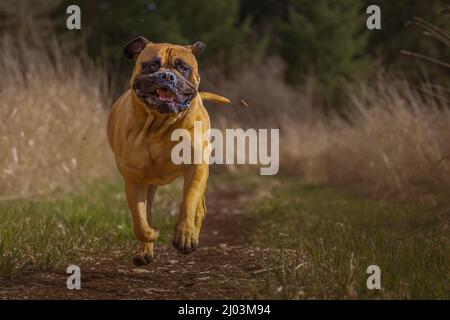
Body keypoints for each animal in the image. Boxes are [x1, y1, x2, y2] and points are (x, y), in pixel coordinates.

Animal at [107, 36, 230, 266]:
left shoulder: (196, 167)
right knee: (147, 212)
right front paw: (150, 234)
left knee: (200, 208)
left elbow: (189, 202)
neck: (160, 124)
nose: (167, 75)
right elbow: (140, 219)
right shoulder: (134, 180)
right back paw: (145, 250)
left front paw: (186, 236)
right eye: (152, 65)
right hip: (149, 184)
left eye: (183, 67)